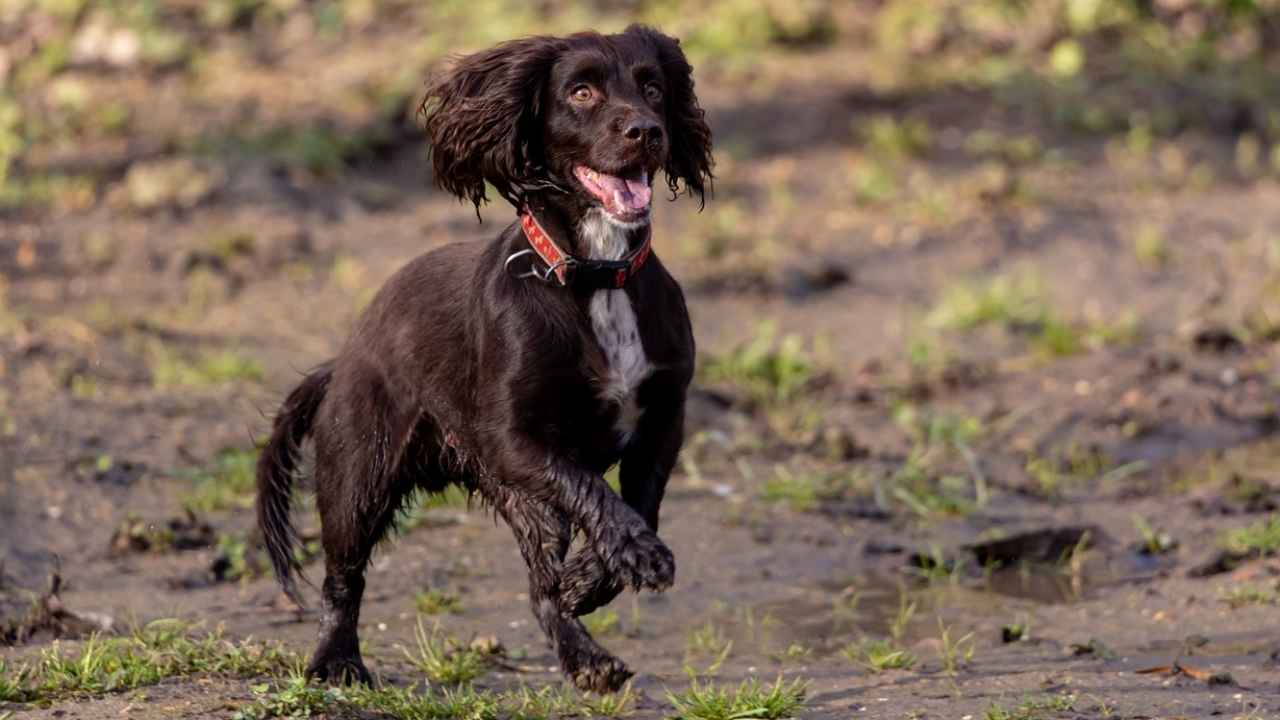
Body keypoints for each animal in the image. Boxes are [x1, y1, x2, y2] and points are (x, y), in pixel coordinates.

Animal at [254, 25, 716, 691]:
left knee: (539, 588)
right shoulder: (511, 440)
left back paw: (587, 658)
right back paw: (334, 661)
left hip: (519, 500)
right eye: (581, 92)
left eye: (653, 86)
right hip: (358, 472)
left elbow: (640, 506)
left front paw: (593, 576)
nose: (646, 131)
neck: (594, 274)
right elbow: (591, 488)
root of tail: (341, 359)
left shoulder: (662, 422)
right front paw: (633, 553)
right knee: (342, 577)